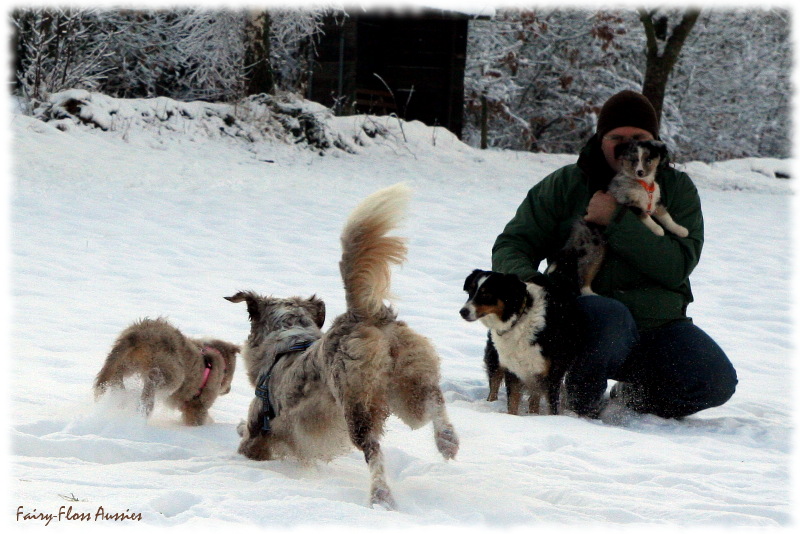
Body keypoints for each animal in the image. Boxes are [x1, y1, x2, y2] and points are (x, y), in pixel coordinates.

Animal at [94, 318, 238, 428]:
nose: (228, 390)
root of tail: (139, 334)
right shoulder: (199, 404)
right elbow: (198, 417)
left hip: (127, 361)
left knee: (116, 374)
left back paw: (121, 392)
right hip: (172, 372)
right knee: (154, 379)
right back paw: (145, 402)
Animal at [228, 184, 460, 510]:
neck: (289, 339)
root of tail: (363, 314)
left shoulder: (260, 432)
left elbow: (248, 439)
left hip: (356, 401)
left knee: (374, 451)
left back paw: (381, 497)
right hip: (409, 382)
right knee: (433, 403)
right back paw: (447, 441)